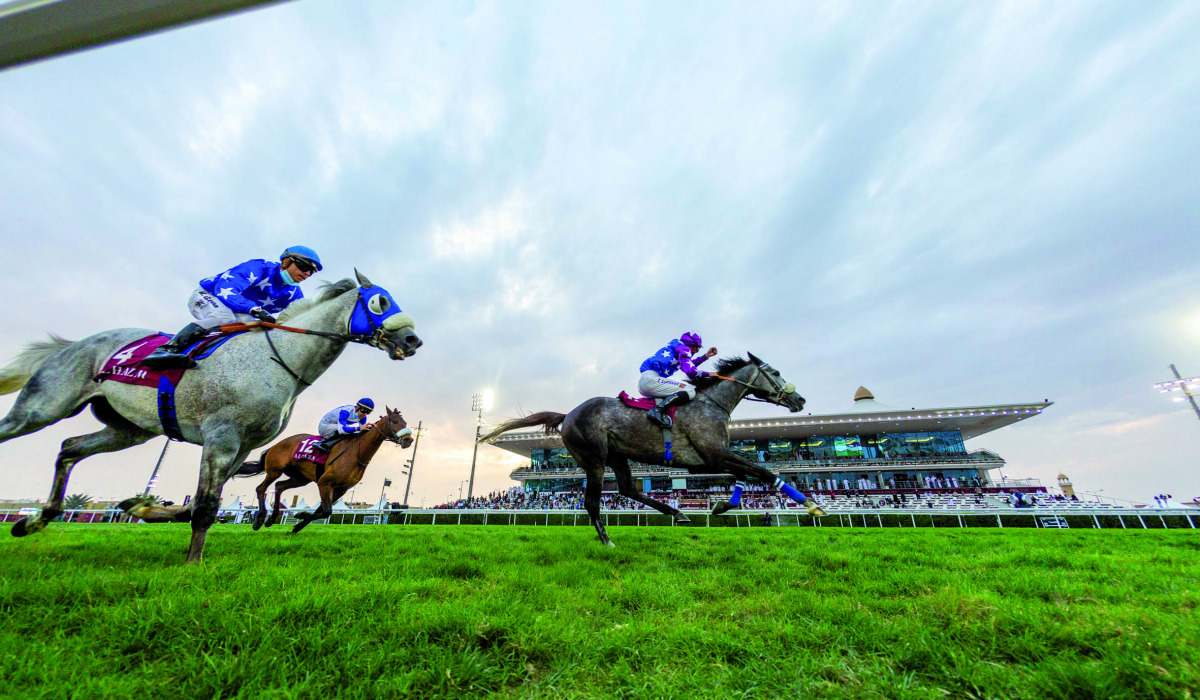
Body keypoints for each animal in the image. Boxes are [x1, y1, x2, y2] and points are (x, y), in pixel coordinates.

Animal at [236, 408, 415, 533]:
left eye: (405, 423)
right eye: (394, 421)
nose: (409, 440)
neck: (357, 452)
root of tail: (276, 444)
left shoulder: (341, 488)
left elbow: (322, 510)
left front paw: (299, 520)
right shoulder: (324, 482)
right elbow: (326, 510)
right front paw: (299, 521)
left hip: (300, 478)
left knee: (279, 486)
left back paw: (271, 519)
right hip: (275, 469)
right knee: (261, 488)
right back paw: (259, 519)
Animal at [477, 355, 825, 547]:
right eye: (775, 372)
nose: (800, 400)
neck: (711, 404)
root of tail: (567, 415)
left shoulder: (708, 460)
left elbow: (745, 473)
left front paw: (722, 505)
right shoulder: (711, 455)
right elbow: (764, 471)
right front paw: (811, 504)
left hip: (617, 456)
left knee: (628, 488)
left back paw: (678, 513)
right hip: (594, 459)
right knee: (592, 502)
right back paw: (608, 541)